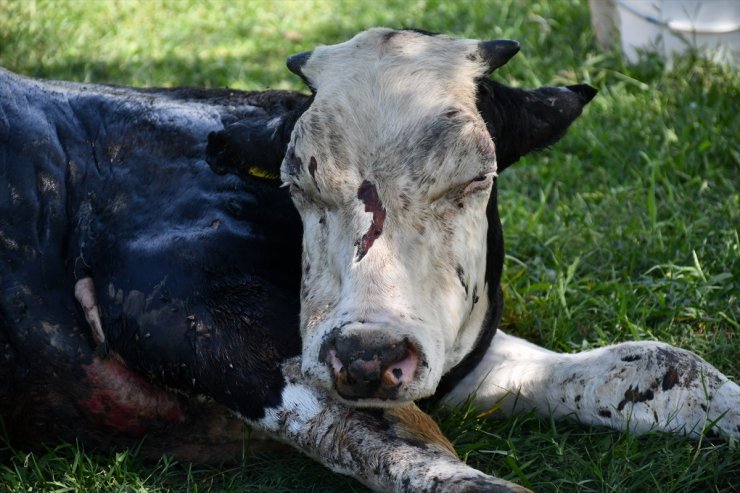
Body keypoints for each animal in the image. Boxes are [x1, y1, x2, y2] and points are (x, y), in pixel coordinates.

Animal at [0, 27, 736, 492]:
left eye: (475, 179)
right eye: (297, 182)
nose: (368, 354)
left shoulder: (444, 351)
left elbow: (660, 364)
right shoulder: (174, 304)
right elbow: (385, 442)